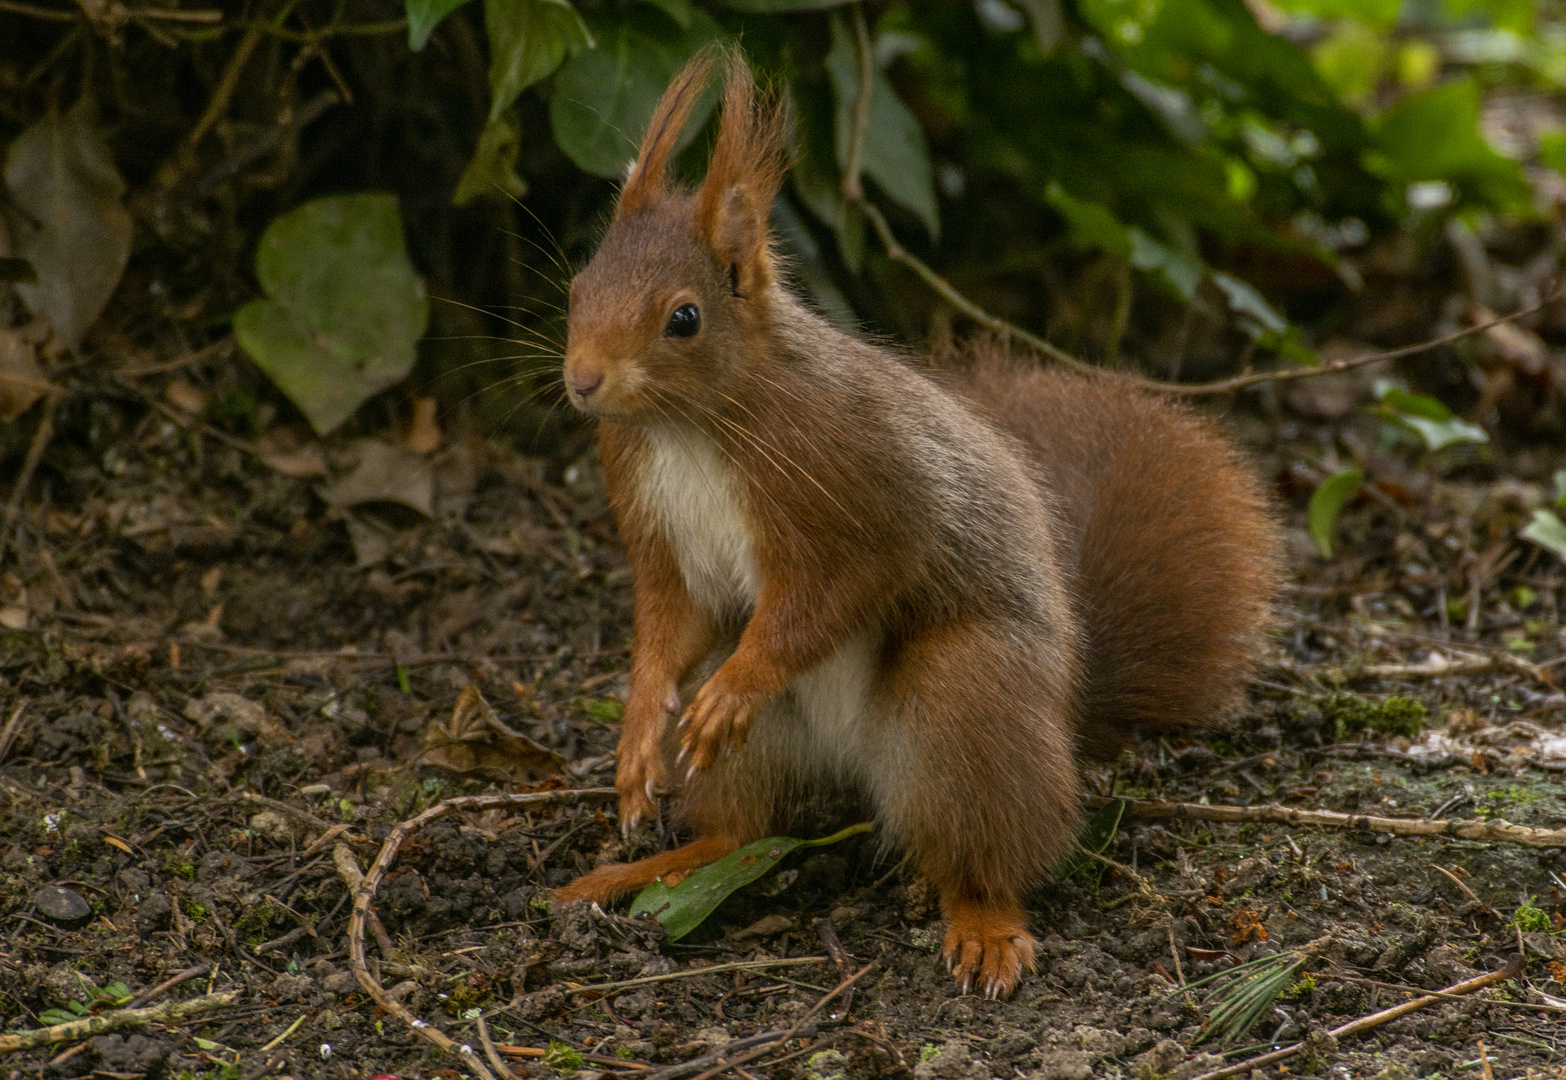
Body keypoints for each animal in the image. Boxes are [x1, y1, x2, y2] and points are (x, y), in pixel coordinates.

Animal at [557, 48, 1277, 995]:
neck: (694, 424)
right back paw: (650, 867)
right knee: (744, 830)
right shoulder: (656, 531)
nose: (582, 382)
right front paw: (641, 736)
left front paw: (737, 686)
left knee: (984, 852)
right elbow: (670, 625)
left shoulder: (859, 489)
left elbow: (834, 593)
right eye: (575, 288)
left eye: (684, 318)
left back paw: (985, 925)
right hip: (771, 751)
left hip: (965, 700)